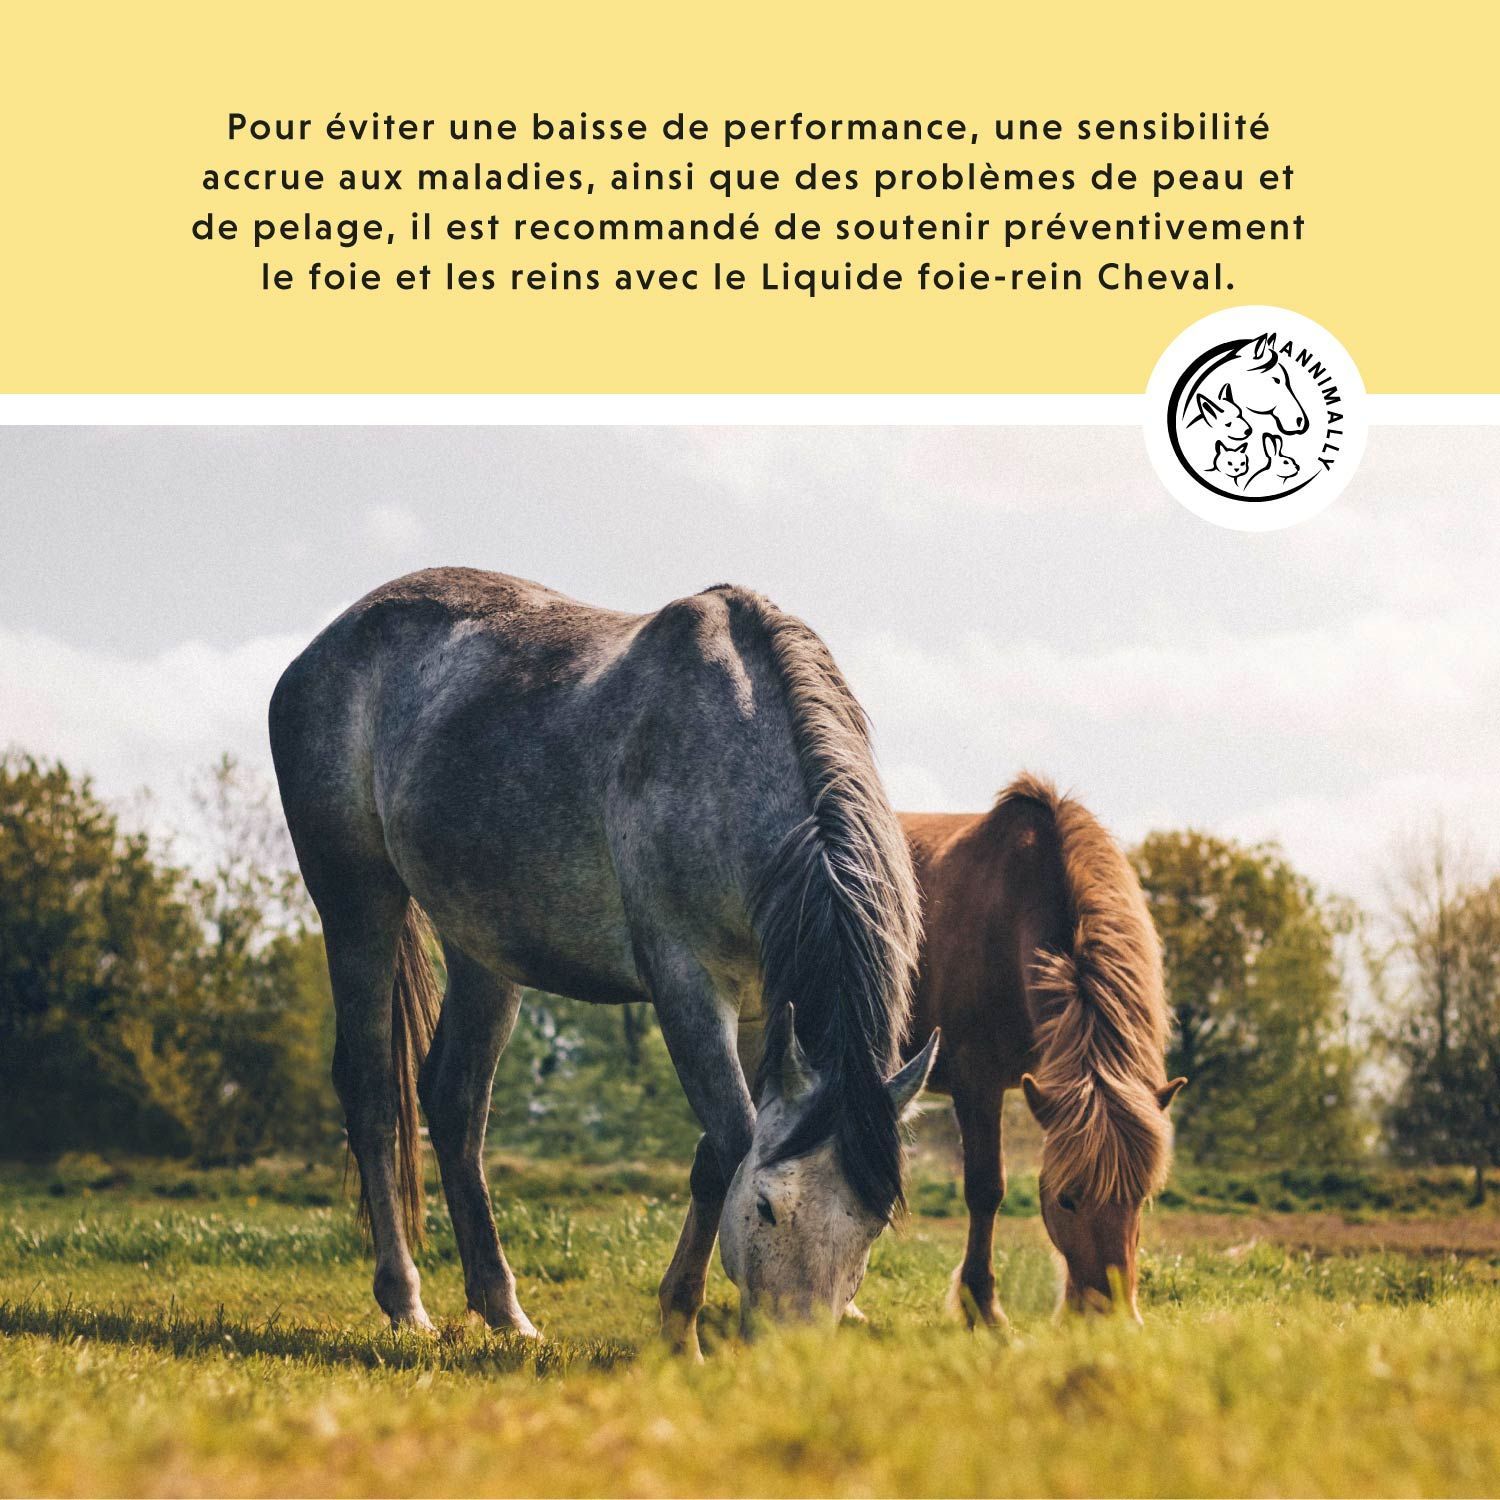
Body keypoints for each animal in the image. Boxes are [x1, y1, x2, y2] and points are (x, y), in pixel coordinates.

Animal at [269, 567, 938, 1354]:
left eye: (873, 1223)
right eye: (770, 1208)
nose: (792, 1354)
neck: (733, 751)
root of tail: (324, 647)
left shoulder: (761, 1010)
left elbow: (715, 1155)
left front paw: (676, 1320)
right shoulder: (686, 984)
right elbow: (731, 1143)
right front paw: (681, 1332)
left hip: (481, 947)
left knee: (455, 1102)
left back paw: (504, 1310)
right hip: (357, 904)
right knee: (375, 1094)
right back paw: (405, 1302)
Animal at [902, 776, 1185, 1325]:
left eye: (1140, 1198)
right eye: (1067, 1200)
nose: (1110, 1318)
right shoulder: (976, 1082)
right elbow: (986, 1189)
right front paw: (983, 1308)